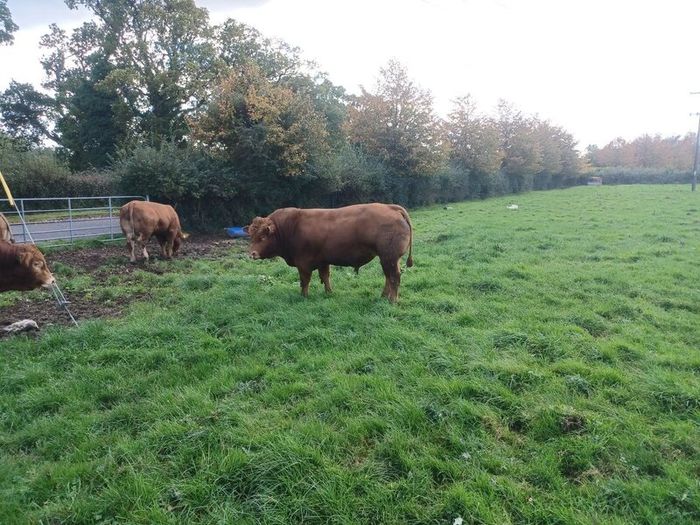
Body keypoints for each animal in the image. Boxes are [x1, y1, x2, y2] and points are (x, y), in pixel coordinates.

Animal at [246, 203, 414, 302]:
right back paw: (384, 296)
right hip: (387, 259)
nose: (251, 254)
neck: (290, 226)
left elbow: (304, 281)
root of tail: (390, 207)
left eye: (262, 237)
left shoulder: (303, 264)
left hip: (389, 258)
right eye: (251, 235)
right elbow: (325, 277)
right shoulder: (323, 261)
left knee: (394, 277)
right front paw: (329, 293)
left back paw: (392, 300)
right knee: (388, 277)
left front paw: (304, 296)